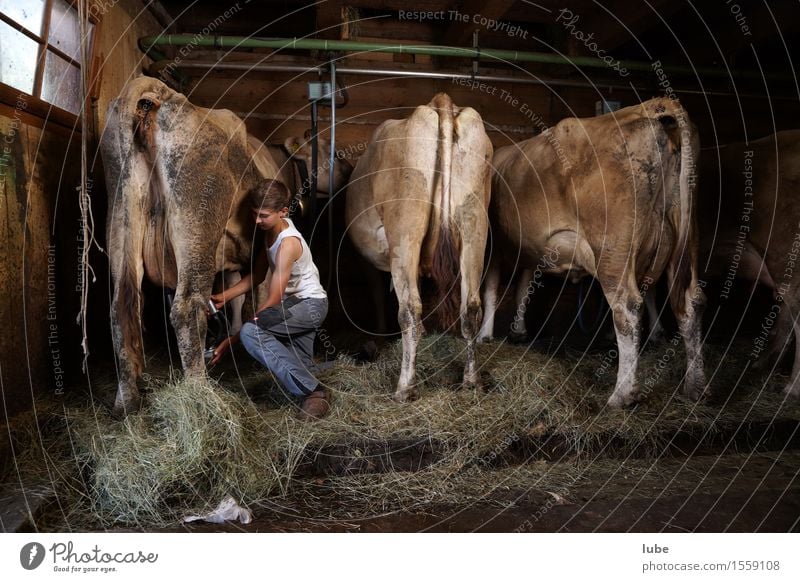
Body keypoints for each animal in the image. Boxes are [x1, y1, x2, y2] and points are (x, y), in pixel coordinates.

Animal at [346, 93, 494, 404]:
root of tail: (439, 104)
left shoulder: (370, 261)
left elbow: (377, 295)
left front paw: (379, 341)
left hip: (406, 228)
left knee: (411, 310)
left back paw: (405, 387)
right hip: (475, 223)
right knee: (471, 307)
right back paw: (471, 381)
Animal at [478, 99, 704, 410]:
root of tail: (649, 107)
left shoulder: (495, 245)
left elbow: (491, 290)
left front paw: (485, 335)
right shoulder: (532, 248)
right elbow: (524, 288)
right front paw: (518, 330)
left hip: (613, 253)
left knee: (628, 308)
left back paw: (622, 395)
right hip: (684, 240)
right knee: (690, 303)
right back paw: (696, 386)